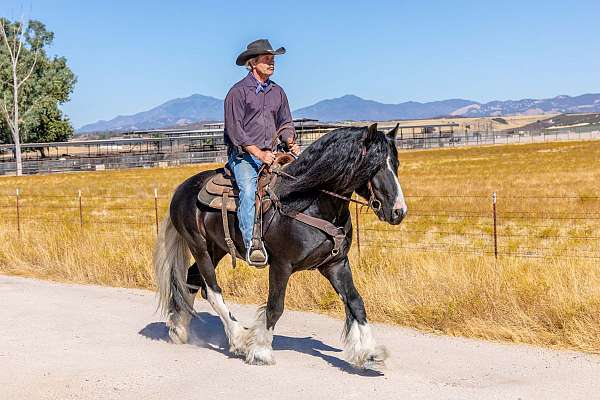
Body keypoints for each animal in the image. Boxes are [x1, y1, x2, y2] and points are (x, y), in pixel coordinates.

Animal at [155, 122, 408, 368]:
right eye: (374, 167)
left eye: (395, 164)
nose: (399, 211)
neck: (309, 202)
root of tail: (181, 190)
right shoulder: (281, 265)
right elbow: (275, 306)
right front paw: (260, 352)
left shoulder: (336, 263)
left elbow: (355, 301)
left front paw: (370, 351)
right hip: (199, 247)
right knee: (212, 290)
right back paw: (239, 339)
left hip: (216, 248)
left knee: (191, 280)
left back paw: (179, 329)